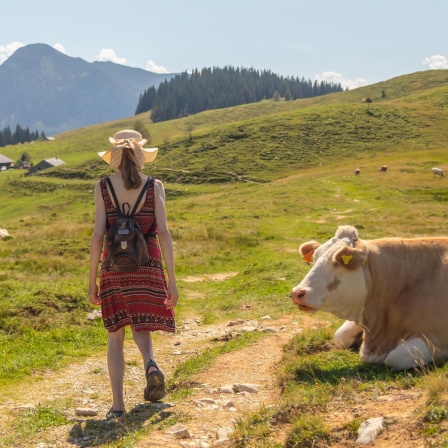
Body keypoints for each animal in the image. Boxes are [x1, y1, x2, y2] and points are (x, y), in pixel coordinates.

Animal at [290, 226, 448, 370]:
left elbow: (395, 358)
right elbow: (340, 336)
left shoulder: (436, 337)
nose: (297, 293)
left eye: (336, 262)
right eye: (314, 259)